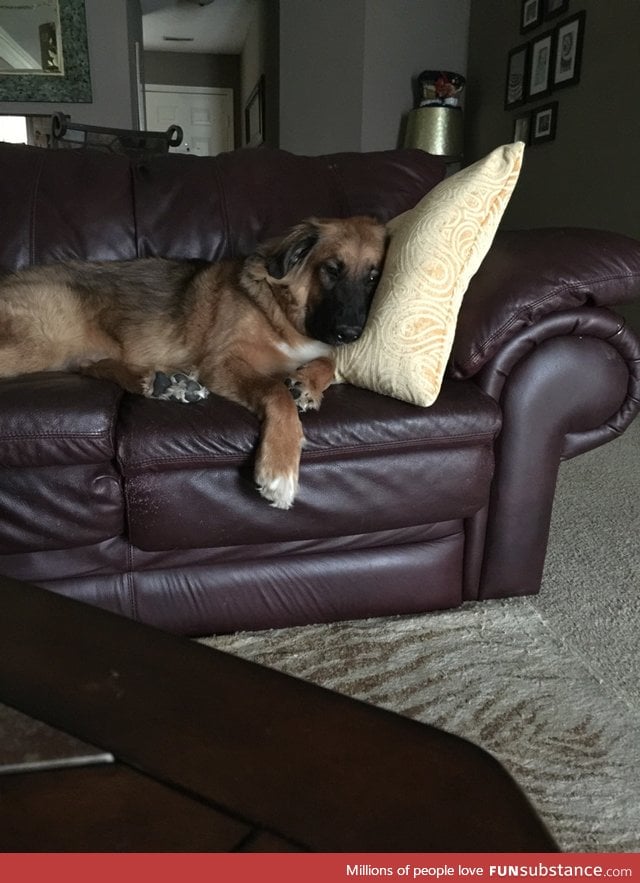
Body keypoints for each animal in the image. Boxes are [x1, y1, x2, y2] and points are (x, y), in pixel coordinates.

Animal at [0, 216, 384, 512]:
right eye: (331, 270)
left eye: (373, 277)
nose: (351, 333)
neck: (283, 311)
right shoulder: (224, 363)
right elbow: (275, 392)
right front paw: (280, 468)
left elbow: (326, 362)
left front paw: (306, 383)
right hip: (39, 340)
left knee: (94, 365)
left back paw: (164, 383)